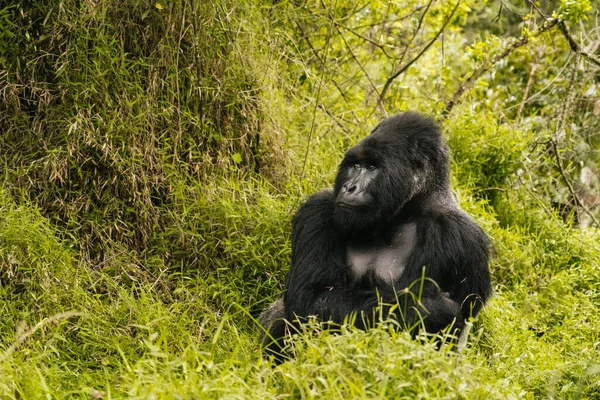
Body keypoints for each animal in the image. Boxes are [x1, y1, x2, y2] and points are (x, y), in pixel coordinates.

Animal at [260, 111, 490, 362]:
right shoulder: (317, 209)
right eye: (355, 165)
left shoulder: (462, 238)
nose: (349, 187)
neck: (405, 212)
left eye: (372, 167)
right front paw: (432, 310)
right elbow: (312, 297)